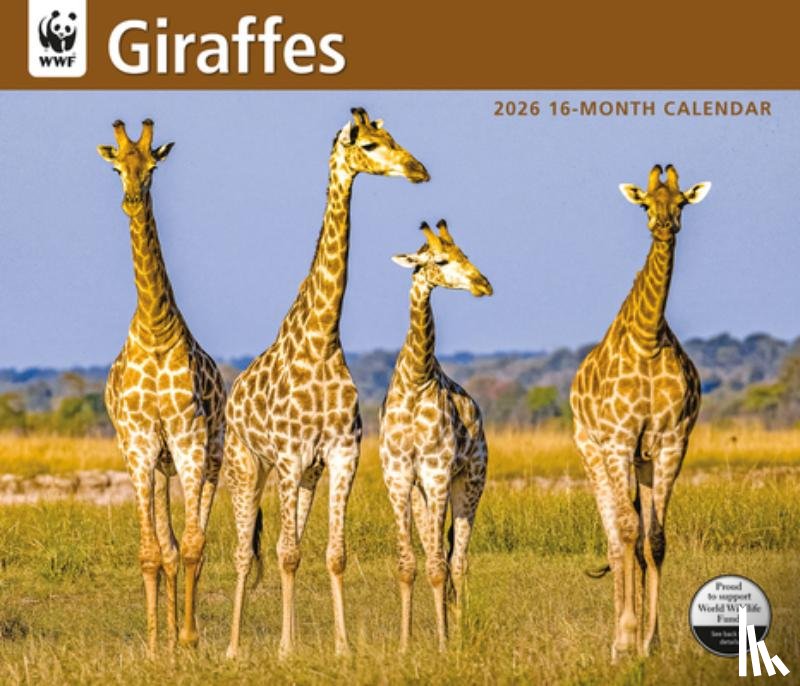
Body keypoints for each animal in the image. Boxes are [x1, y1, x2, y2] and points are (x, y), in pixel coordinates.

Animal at [224, 107, 430, 659]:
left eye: (394, 136)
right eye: (372, 145)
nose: (419, 170)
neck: (321, 340)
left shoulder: (340, 455)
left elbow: (332, 554)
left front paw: (341, 647)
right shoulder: (290, 456)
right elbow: (286, 553)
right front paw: (284, 649)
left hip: (304, 478)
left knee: (282, 546)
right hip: (247, 466)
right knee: (246, 553)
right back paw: (234, 647)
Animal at [380, 220, 492, 652]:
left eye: (465, 253)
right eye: (441, 260)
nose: (483, 284)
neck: (416, 379)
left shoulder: (439, 473)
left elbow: (440, 566)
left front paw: (444, 644)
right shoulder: (398, 478)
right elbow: (409, 563)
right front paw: (404, 644)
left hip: (471, 481)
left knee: (457, 560)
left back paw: (458, 634)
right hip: (421, 492)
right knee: (437, 553)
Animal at [569, 164, 710, 660]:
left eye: (681, 202)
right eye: (647, 203)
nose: (664, 225)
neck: (648, 340)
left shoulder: (670, 442)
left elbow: (656, 540)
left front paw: (653, 640)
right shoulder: (617, 439)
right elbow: (629, 534)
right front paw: (628, 637)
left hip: (642, 461)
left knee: (637, 537)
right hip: (593, 454)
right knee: (615, 539)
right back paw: (617, 639)